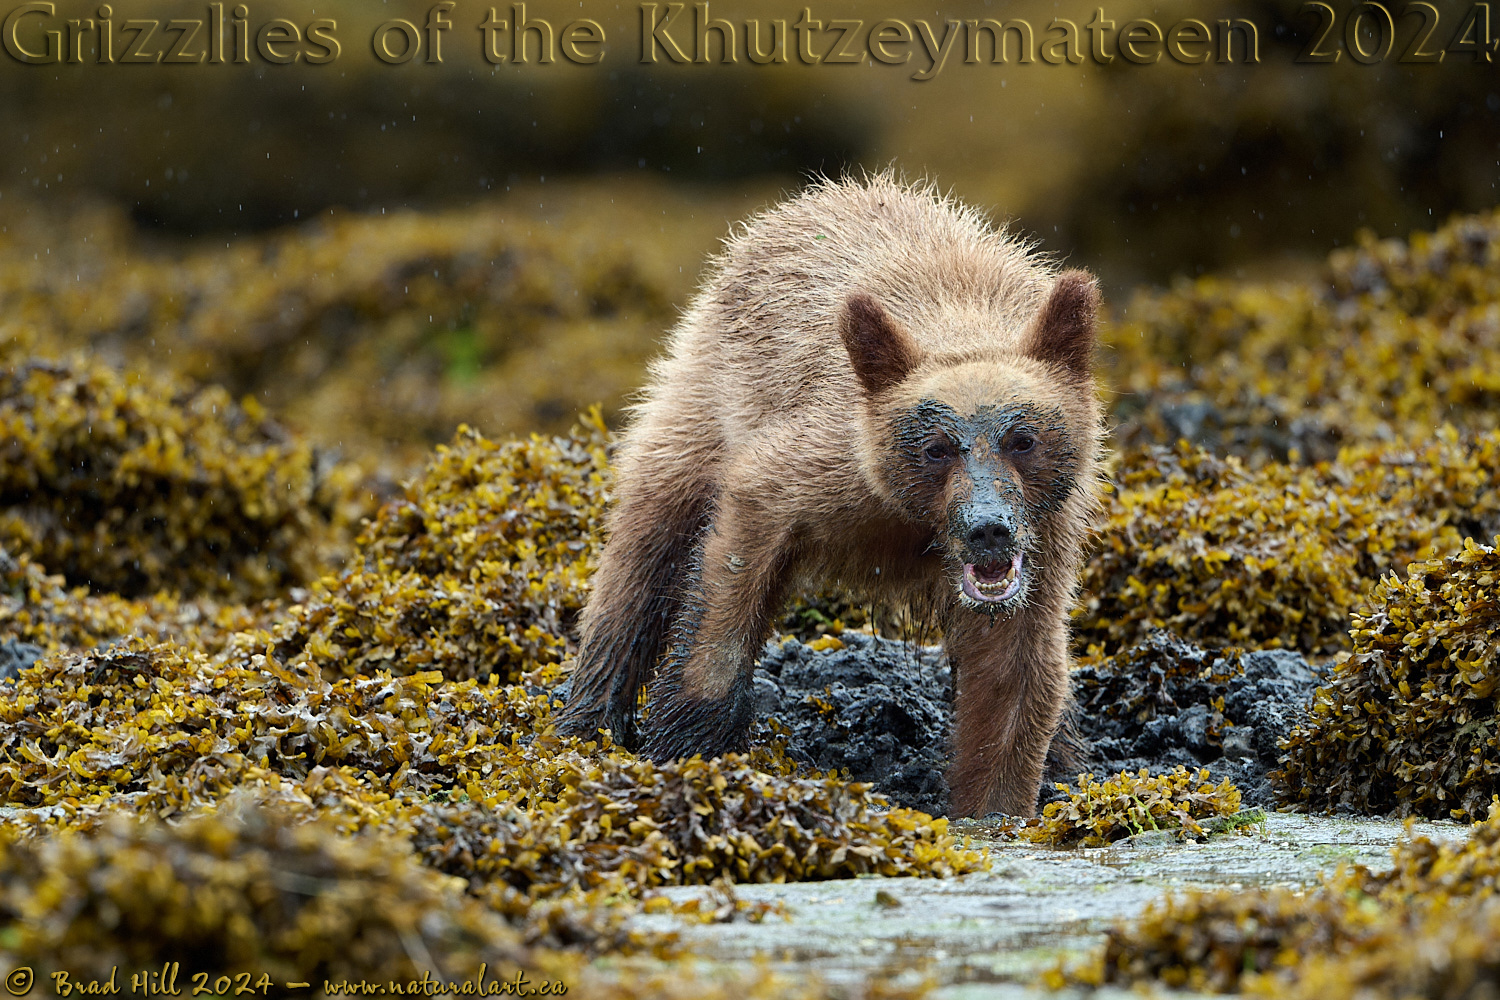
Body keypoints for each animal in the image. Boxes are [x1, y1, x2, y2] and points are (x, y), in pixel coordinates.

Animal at [555, 172, 1104, 815]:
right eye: (937, 447)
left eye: (1023, 438)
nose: (987, 527)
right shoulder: (814, 464)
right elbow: (726, 581)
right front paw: (689, 744)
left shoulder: (1045, 536)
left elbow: (1013, 674)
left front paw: (995, 809)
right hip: (701, 399)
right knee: (642, 557)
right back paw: (587, 719)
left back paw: (1072, 761)